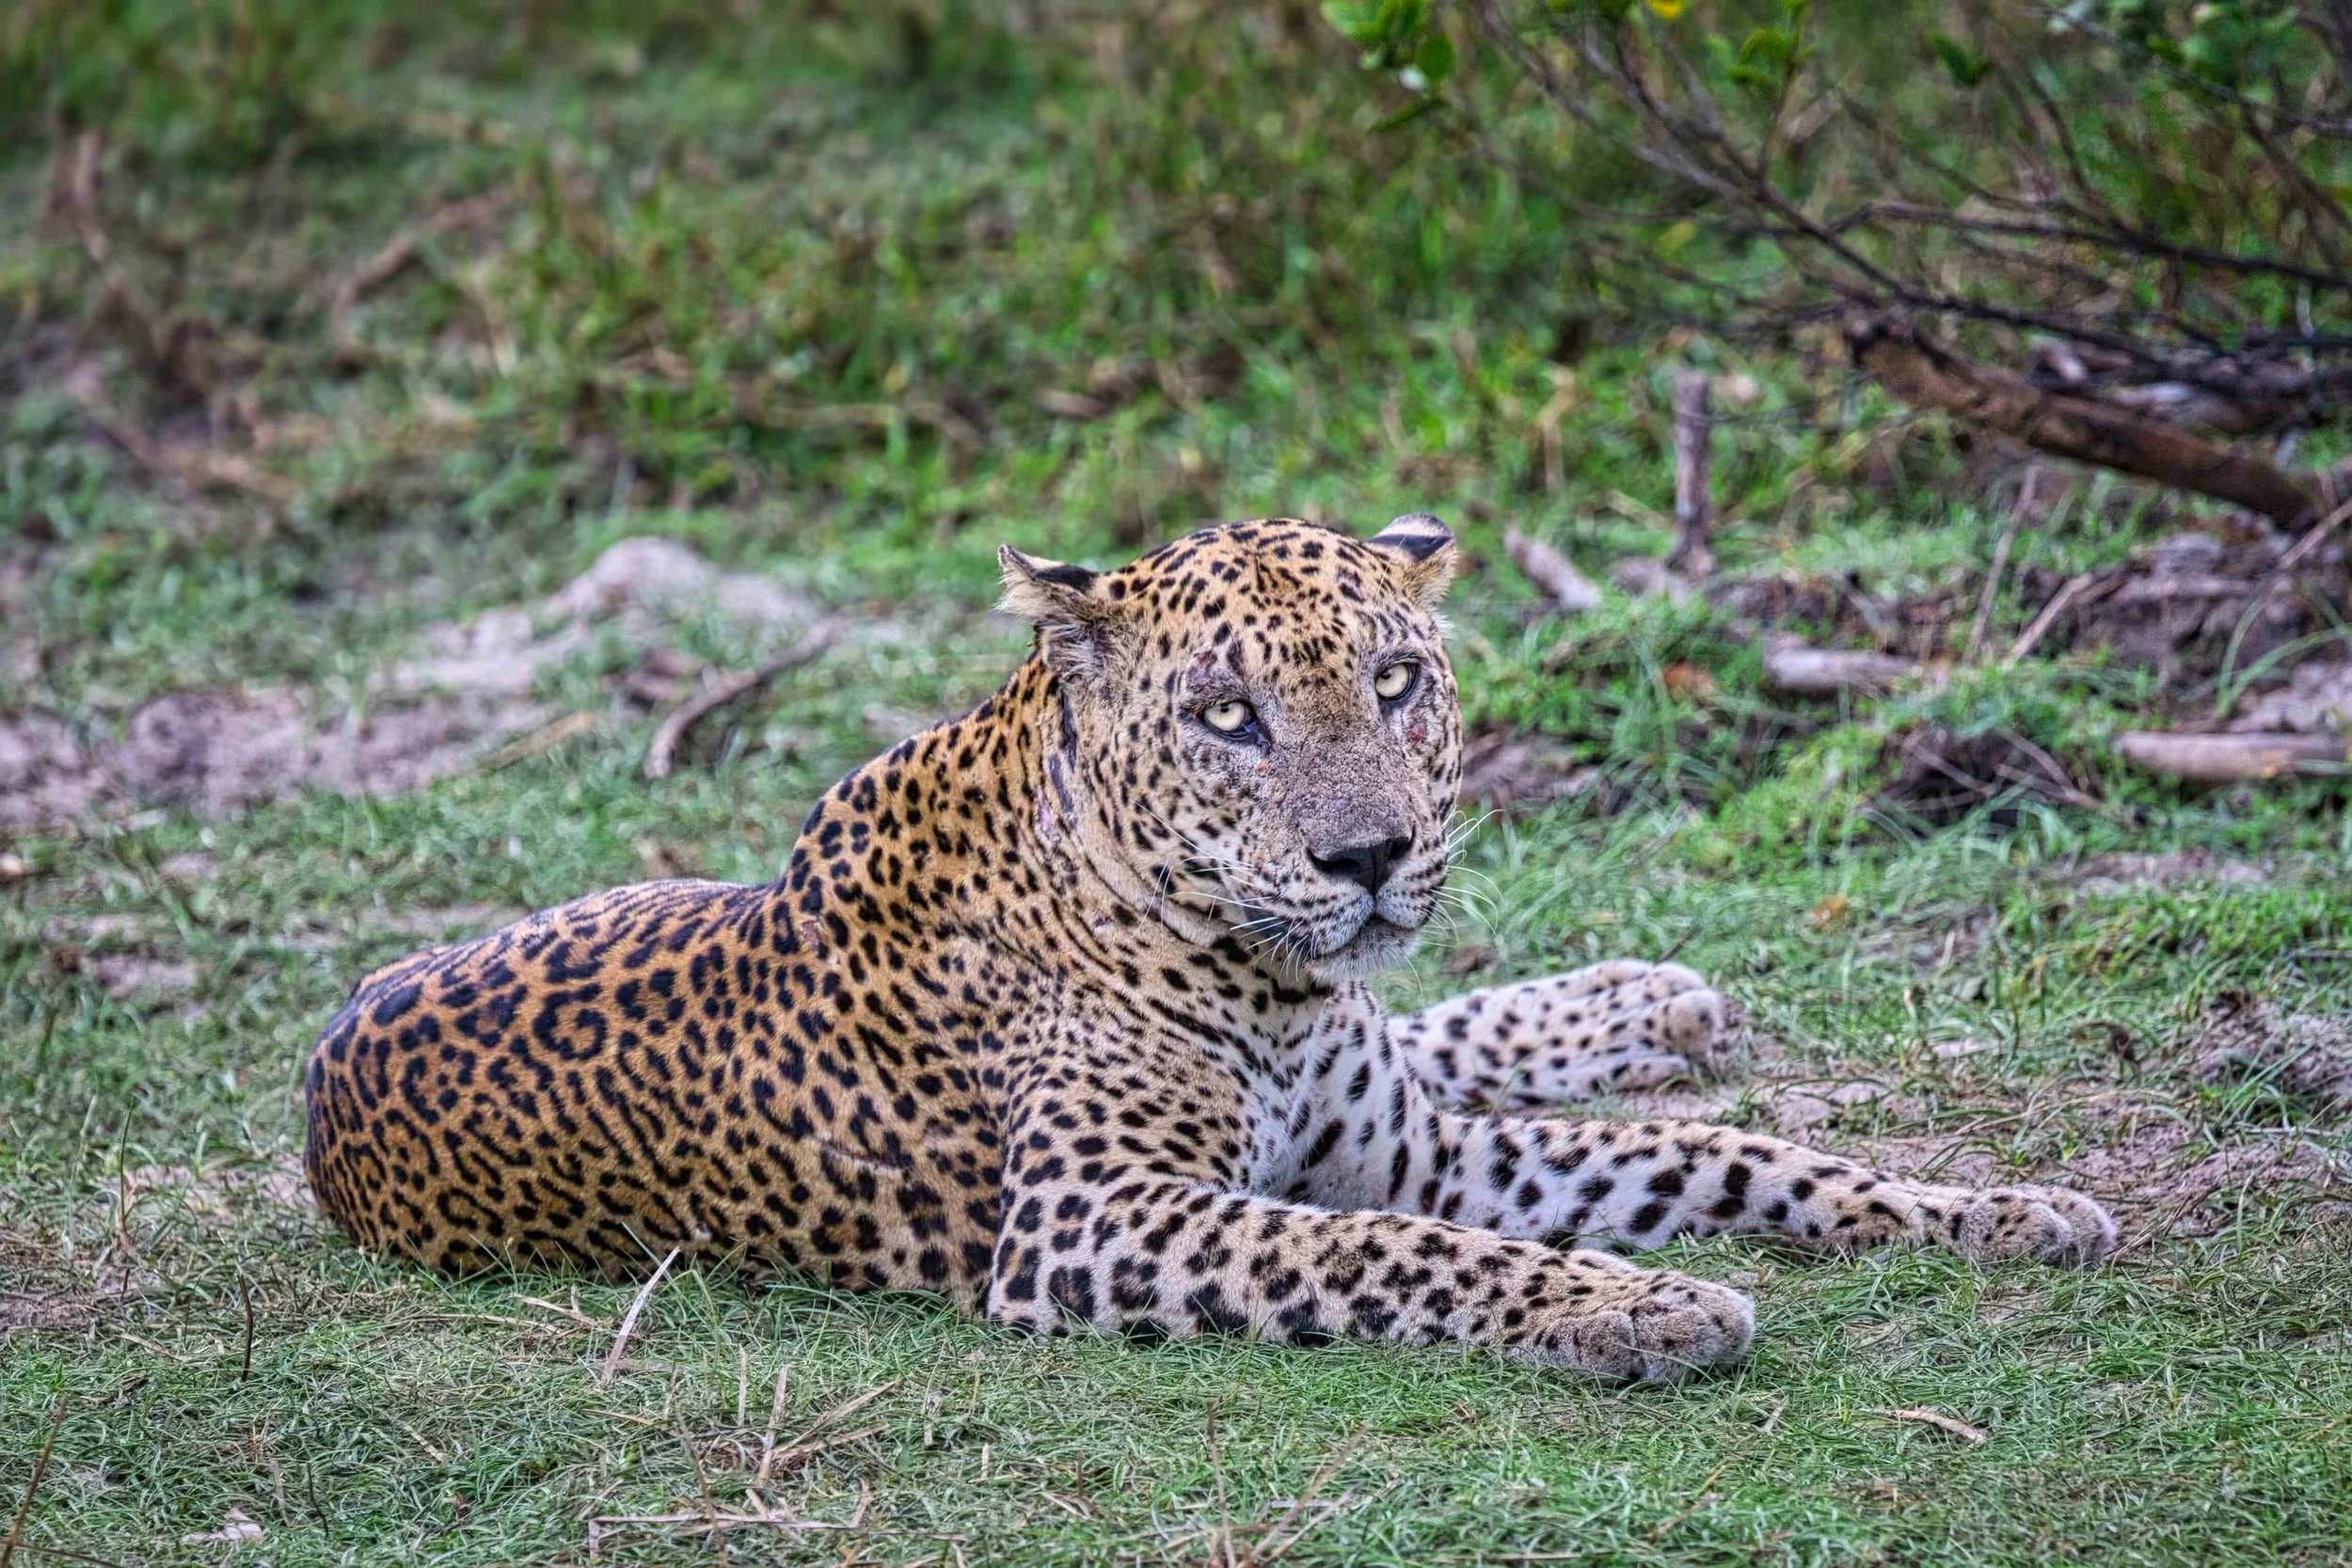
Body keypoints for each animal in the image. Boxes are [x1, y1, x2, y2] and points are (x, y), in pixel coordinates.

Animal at [304, 513, 2115, 1382]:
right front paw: (1639, 1305)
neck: (1263, 977)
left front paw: (2002, 1208)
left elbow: (1736, 1159)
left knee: (1456, 1037)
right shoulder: (1093, 1220)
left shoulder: (1409, 1147)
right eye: (1229, 715)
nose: (1367, 856)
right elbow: (1394, 1255)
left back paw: (1650, 996)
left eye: (1395, 680)